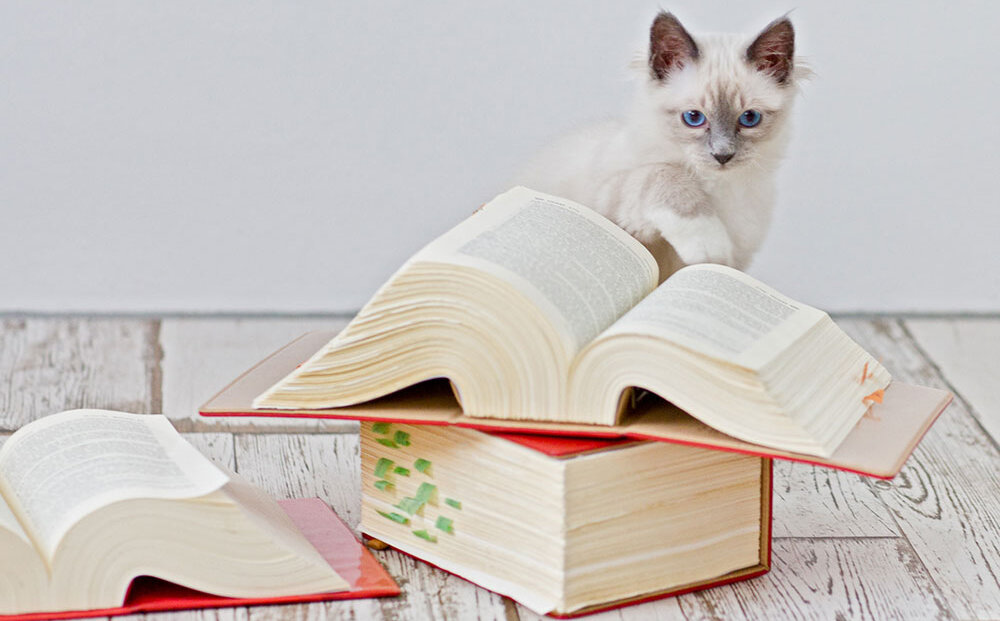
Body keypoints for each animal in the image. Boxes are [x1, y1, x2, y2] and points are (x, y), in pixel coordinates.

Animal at [516, 11, 804, 280]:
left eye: (749, 118)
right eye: (694, 118)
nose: (722, 155)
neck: (713, 187)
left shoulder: (740, 256)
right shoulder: (611, 202)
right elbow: (663, 174)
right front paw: (707, 245)